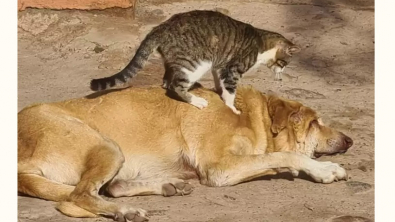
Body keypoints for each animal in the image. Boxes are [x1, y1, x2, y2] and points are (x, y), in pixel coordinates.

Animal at [17, 84, 352, 220]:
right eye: (315, 123)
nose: (349, 140)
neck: (248, 115)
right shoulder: (219, 169)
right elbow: (287, 155)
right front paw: (321, 170)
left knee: (110, 188)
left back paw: (167, 185)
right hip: (106, 146)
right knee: (78, 197)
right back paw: (124, 211)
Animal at [90, 10, 300, 114]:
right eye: (284, 64)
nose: (281, 75)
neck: (261, 42)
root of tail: (161, 27)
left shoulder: (220, 66)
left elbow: (221, 84)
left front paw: (219, 92)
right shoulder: (232, 69)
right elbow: (230, 92)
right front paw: (232, 107)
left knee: (167, 81)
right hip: (196, 63)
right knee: (175, 85)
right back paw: (196, 101)